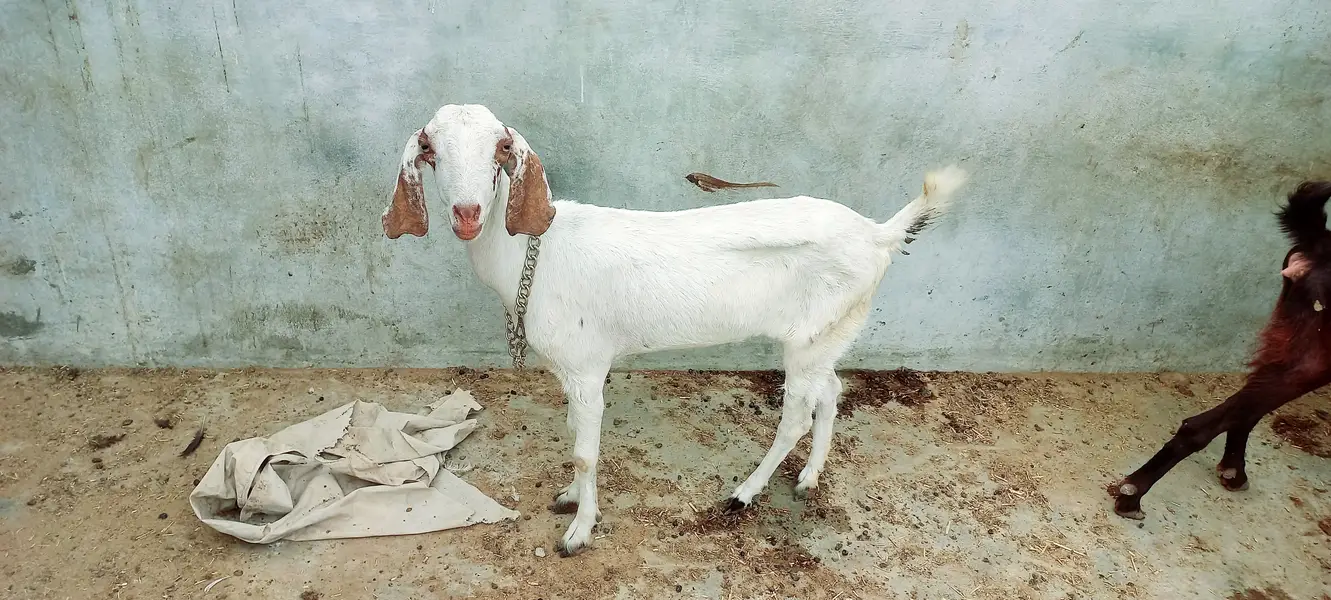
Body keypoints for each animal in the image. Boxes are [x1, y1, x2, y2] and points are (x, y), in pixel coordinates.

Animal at [382, 104, 968, 555]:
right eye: (431, 149)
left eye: (499, 149)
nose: (467, 213)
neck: (534, 253)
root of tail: (878, 235)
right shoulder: (573, 371)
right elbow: (574, 435)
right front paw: (570, 497)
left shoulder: (587, 368)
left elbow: (585, 450)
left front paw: (579, 531)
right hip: (826, 334)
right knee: (832, 390)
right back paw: (808, 478)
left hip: (812, 339)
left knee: (797, 416)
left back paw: (745, 491)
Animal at [1111, 180, 1331, 520]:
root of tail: (1321, 244)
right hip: (1315, 357)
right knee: (1210, 422)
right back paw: (1134, 493)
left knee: (1247, 407)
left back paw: (1233, 470)